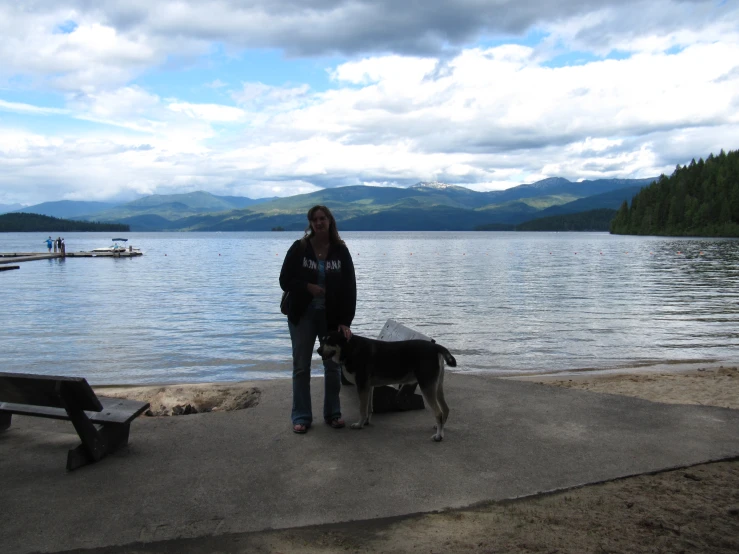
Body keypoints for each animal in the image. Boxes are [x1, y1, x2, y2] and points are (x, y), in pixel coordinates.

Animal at [318, 328, 456, 440]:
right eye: (322, 341)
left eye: (330, 341)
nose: (318, 350)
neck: (350, 348)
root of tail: (436, 347)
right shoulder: (368, 387)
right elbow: (368, 407)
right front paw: (366, 422)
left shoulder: (362, 385)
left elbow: (362, 409)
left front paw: (359, 424)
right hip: (437, 386)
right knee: (445, 409)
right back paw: (441, 430)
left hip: (427, 386)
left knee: (438, 413)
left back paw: (438, 436)